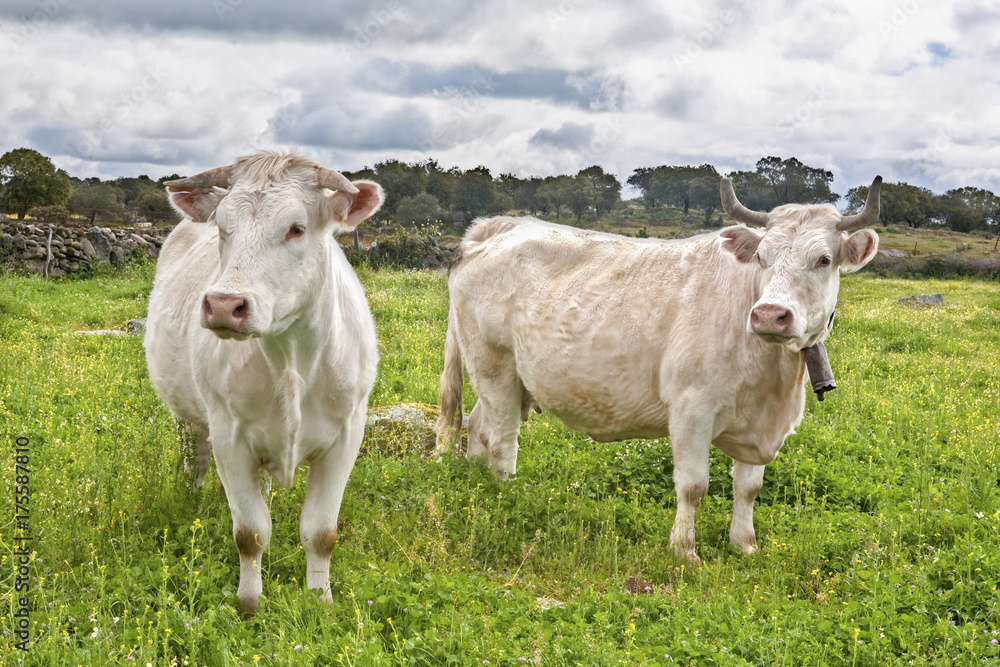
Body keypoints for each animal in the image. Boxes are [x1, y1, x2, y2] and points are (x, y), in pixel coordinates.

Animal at [146, 151, 382, 612]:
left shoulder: (347, 435)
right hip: (189, 418)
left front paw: (320, 600)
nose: (224, 304)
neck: (292, 360)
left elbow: (322, 533)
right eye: (222, 228)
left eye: (296, 228)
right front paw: (249, 604)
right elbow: (250, 532)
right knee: (194, 460)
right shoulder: (228, 436)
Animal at [438, 176, 884, 564]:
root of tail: (499, 227)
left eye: (823, 260)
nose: (770, 314)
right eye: (761, 257)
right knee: (502, 438)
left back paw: (476, 481)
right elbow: (693, 486)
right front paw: (685, 551)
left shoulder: (759, 422)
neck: (772, 379)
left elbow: (749, 487)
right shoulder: (691, 409)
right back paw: (509, 496)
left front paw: (744, 544)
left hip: (508, 378)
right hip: (493, 365)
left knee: (478, 425)